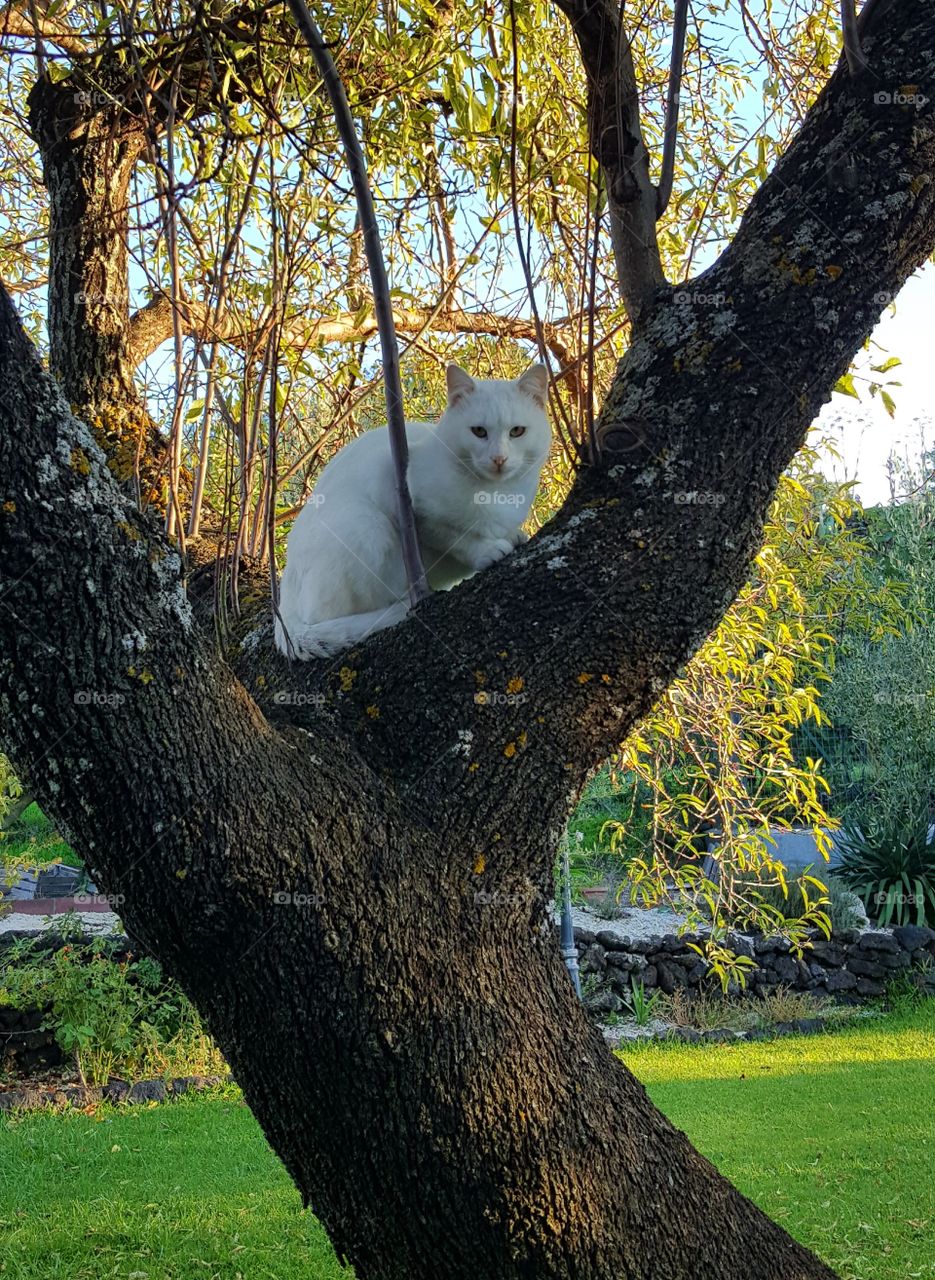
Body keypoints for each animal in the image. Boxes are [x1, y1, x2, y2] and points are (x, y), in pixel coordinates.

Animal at [272, 363, 550, 655]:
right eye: (479, 431)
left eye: (517, 431)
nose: (499, 458)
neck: (494, 495)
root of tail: (284, 610)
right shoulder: (396, 487)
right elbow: (452, 536)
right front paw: (486, 549)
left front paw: (511, 535)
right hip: (366, 526)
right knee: (324, 614)